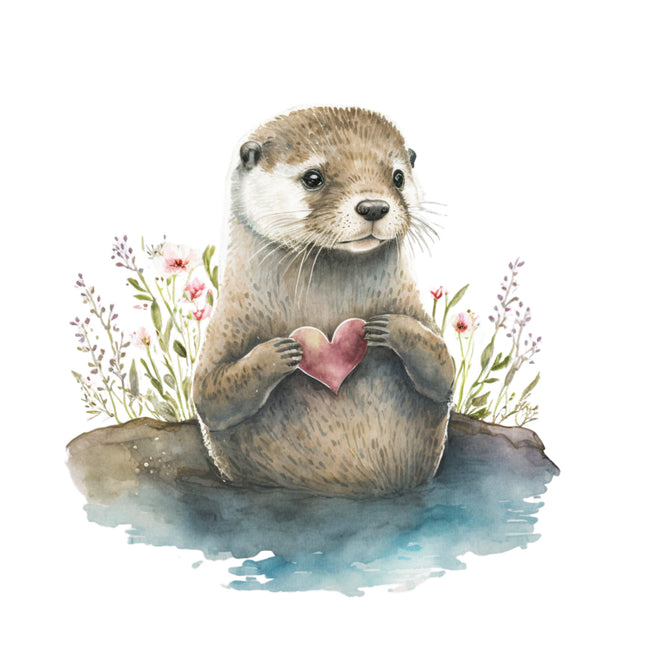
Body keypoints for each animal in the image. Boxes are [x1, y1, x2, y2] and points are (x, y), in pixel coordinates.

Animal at [193, 106, 455, 496]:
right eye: (313, 177)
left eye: (397, 177)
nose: (373, 206)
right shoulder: (227, 323)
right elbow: (210, 396)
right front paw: (280, 352)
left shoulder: (416, 308)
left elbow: (443, 371)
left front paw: (388, 327)